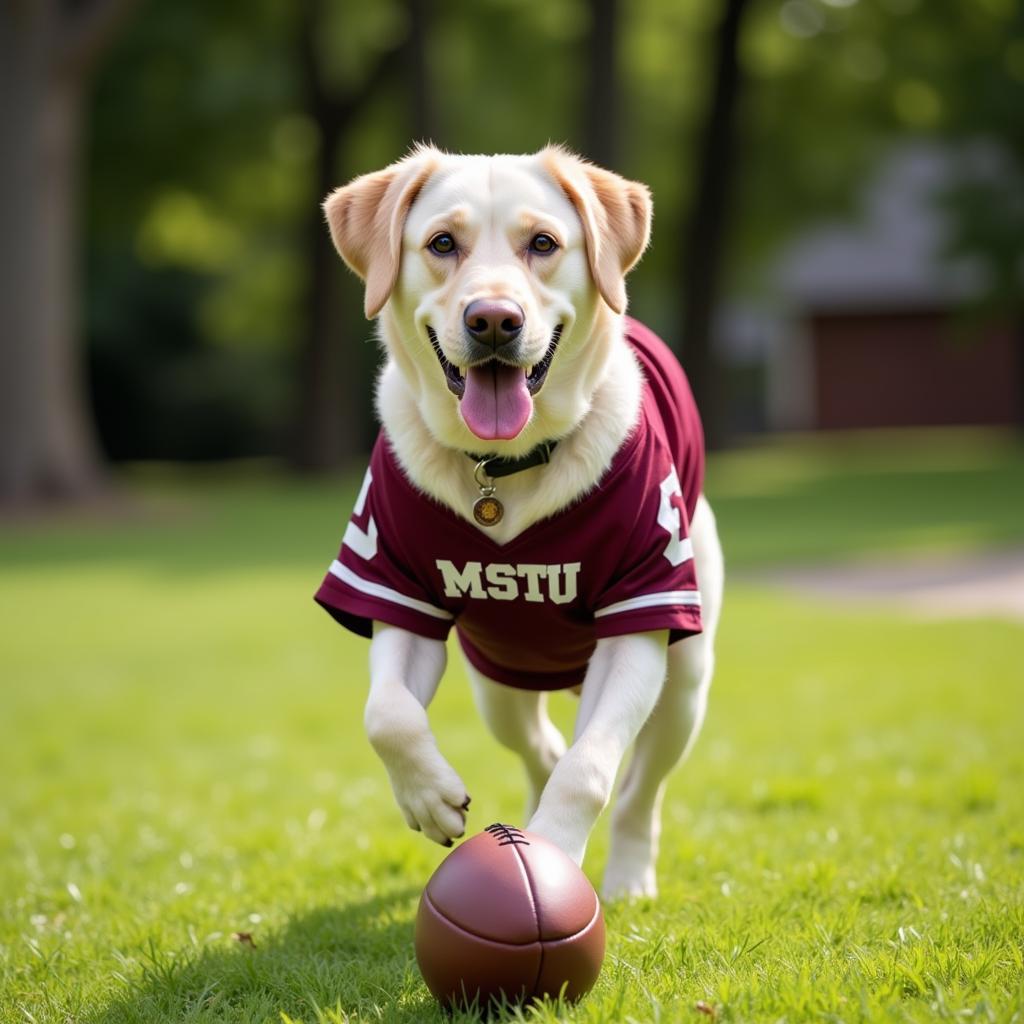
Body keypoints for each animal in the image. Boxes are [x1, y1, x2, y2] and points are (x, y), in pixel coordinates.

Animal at [315, 144, 724, 897]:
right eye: (442, 244)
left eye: (543, 244)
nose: (494, 320)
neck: (502, 468)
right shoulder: (390, 583)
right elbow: (386, 715)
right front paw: (430, 797)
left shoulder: (641, 613)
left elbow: (589, 771)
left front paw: (554, 853)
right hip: (498, 685)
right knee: (542, 747)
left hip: (686, 676)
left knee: (638, 788)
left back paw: (628, 875)